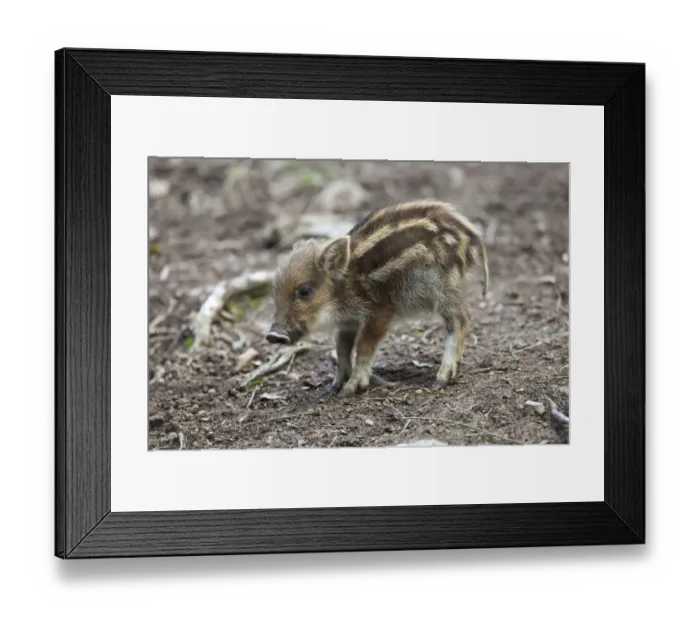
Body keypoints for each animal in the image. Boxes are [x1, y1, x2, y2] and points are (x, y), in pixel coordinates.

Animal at [266, 200, 489, 397]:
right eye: (275, 290)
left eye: (304, 291)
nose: (273, 335)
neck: (344, 287)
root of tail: (472, 236)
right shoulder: (348, 322)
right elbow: (342, 347)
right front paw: (335, 385)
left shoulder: (379, 312)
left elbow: (364, 346)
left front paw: (350, 388)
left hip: (443, 287)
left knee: (460, 320)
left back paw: (441, 378)